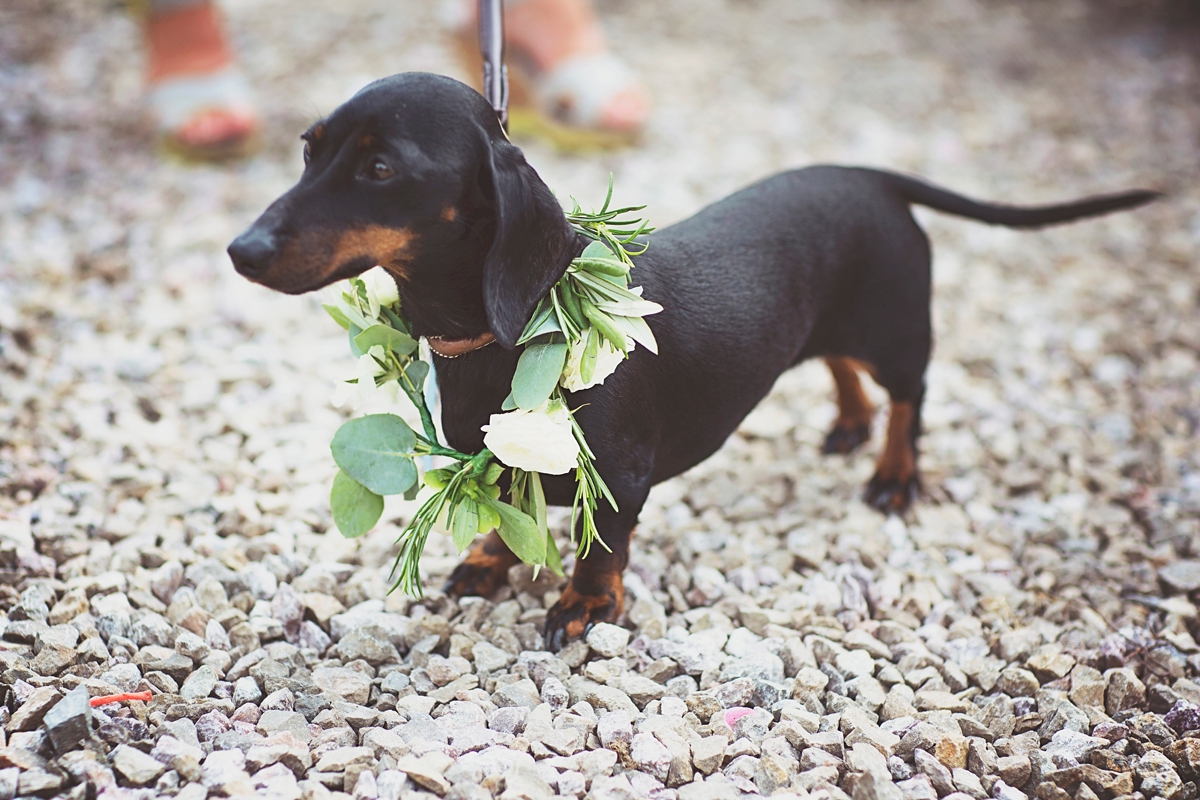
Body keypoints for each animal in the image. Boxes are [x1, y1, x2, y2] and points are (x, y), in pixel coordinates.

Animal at [229, 73, 1156, 652]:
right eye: (309, 149)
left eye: (382, 167)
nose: (241, 250)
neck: (500, 335)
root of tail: (870, 176)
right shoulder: (486, 454)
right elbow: (502, 504)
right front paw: (489, 562)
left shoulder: (621, 477)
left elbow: (602, 546)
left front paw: (584, 606)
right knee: (838, 367)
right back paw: (848, 426)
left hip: (898, 334)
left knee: (911, 399)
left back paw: (893, 471)